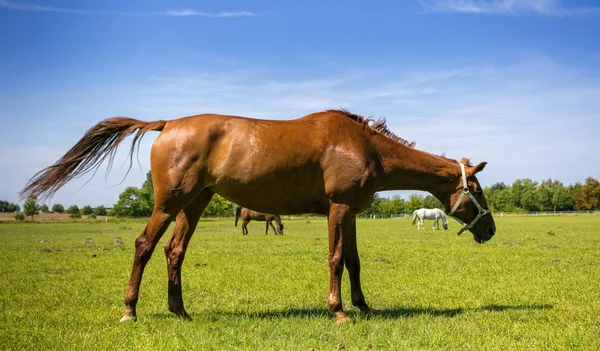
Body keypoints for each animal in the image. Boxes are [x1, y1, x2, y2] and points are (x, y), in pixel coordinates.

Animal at [19, 108, 496, 324]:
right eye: (475, 190)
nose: (490, 230)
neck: (363, 145)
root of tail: (167, 123)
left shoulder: (351, 212)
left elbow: (355, 262)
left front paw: (363, 306)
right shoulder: (339, 208)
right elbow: (336, 260)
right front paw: (339, 311)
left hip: (194, 204)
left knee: (174, 252)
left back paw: (181, 311)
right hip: (170, 203)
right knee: (144, 245)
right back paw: (130, 311)